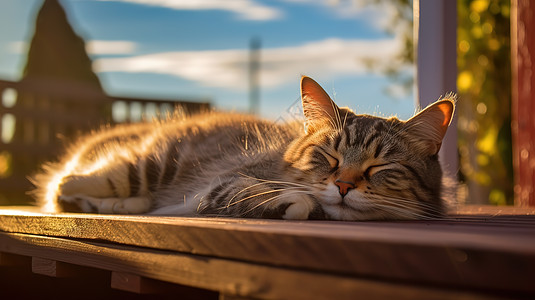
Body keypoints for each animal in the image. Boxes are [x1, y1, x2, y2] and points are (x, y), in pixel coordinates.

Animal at [31, 76, 454, 221]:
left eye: (379, 168)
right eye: (329, 157)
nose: (344, 186)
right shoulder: (226, 181)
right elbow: (278, 196)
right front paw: (302, 202)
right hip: (145, 165)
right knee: (62, 185)